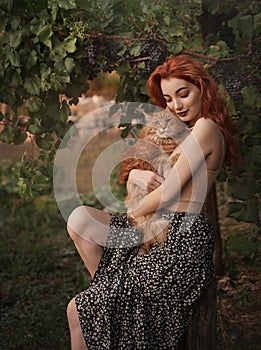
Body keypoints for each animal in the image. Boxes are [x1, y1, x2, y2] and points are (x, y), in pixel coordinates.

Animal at [118, 108, 189, 253]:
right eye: (157, 122)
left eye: (168, 120)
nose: (163, 127)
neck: (164, 140)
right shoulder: (155, 157)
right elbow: (165, 163)